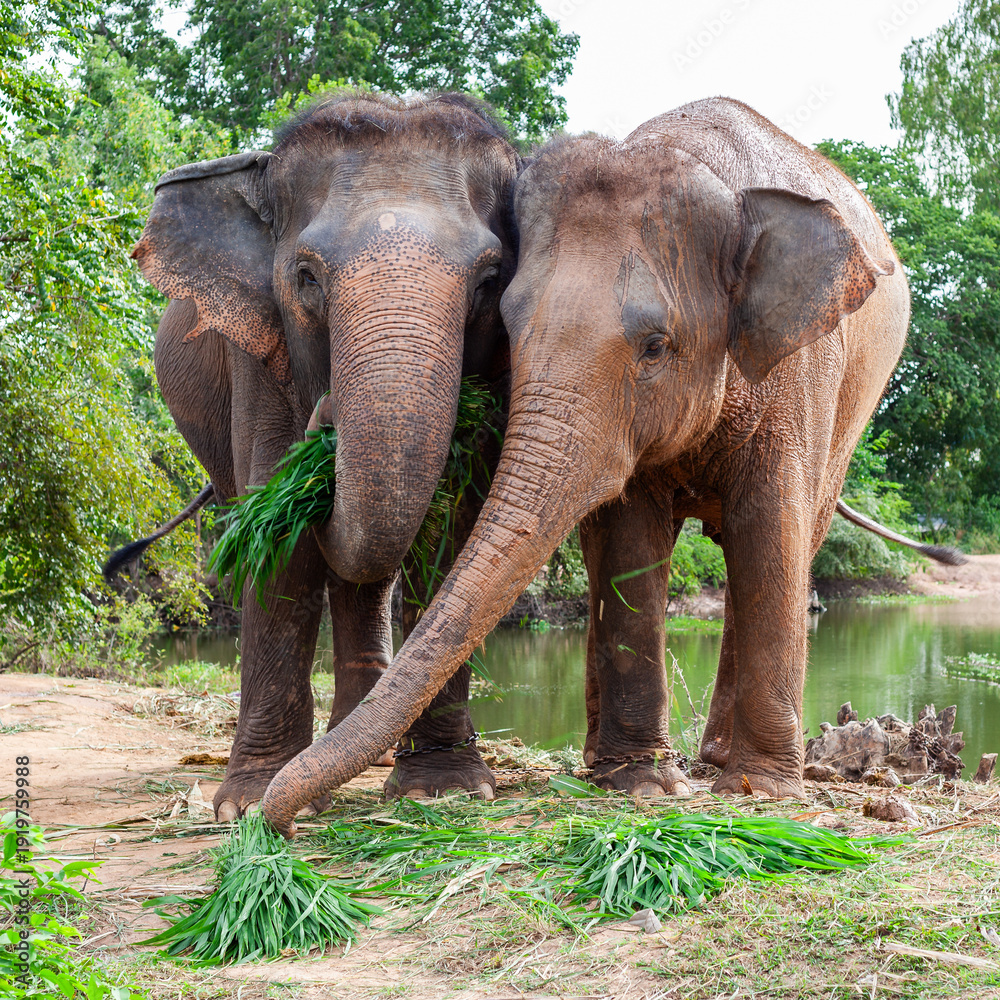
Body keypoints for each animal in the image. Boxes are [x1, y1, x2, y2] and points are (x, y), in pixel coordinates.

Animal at [131, 92, 519, 819]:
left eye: (489, 279)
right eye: (306, 277)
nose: (329, 413)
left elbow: (450, 539)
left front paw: (444, 792)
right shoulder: (260, 354)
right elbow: (277, 545)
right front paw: (248, 805)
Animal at [261, 96, 915, 835]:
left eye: (656, 345)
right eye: (508, 322)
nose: (283, 821)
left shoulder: (800, 376)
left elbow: (771, 531)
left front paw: (764, 795)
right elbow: (630, 537)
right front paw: (643, 788)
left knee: (789, 541)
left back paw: (721, 764)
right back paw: (616, 763)